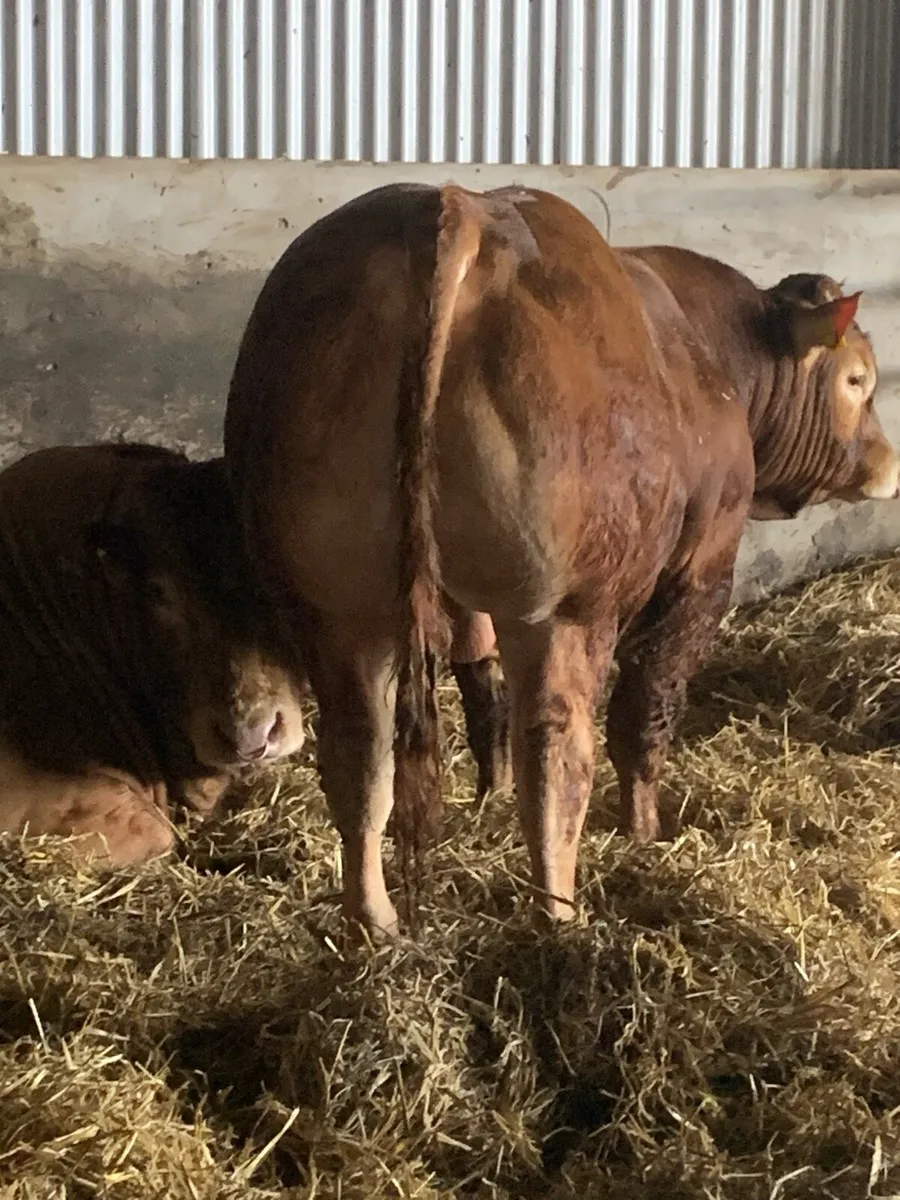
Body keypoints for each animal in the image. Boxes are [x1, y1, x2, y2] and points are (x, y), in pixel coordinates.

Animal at [223, 182, 899, 938]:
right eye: (858, 379)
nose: (887, 464)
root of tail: (456, 209)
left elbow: (476, 668)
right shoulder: (704, 562)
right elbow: (648, 705)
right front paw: (643, 833)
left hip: (340, 610)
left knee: (361, 756)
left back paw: (376, 923)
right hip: (566, 608)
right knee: (556, 760)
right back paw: (560, 918)